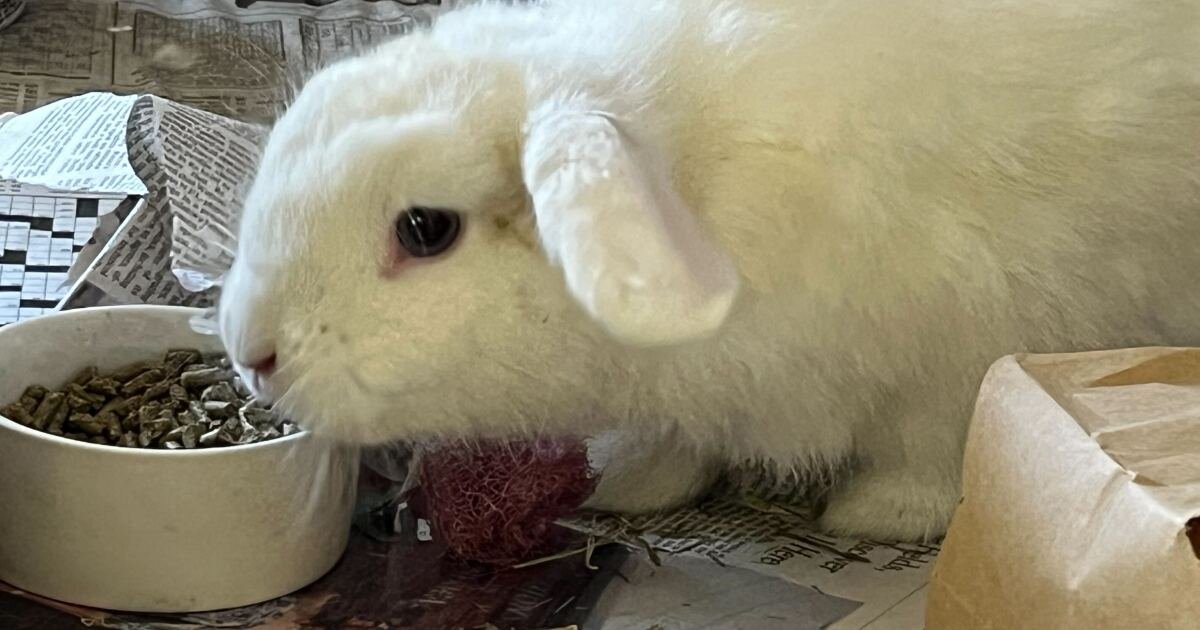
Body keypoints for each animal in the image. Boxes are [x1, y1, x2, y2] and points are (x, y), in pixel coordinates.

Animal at [217, 0, 1200, 542]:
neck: (697, 171)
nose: (252, 353)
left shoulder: (963, 347)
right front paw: (636, 486)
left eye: (426, 230)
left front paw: (878, 514)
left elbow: (927, 450)